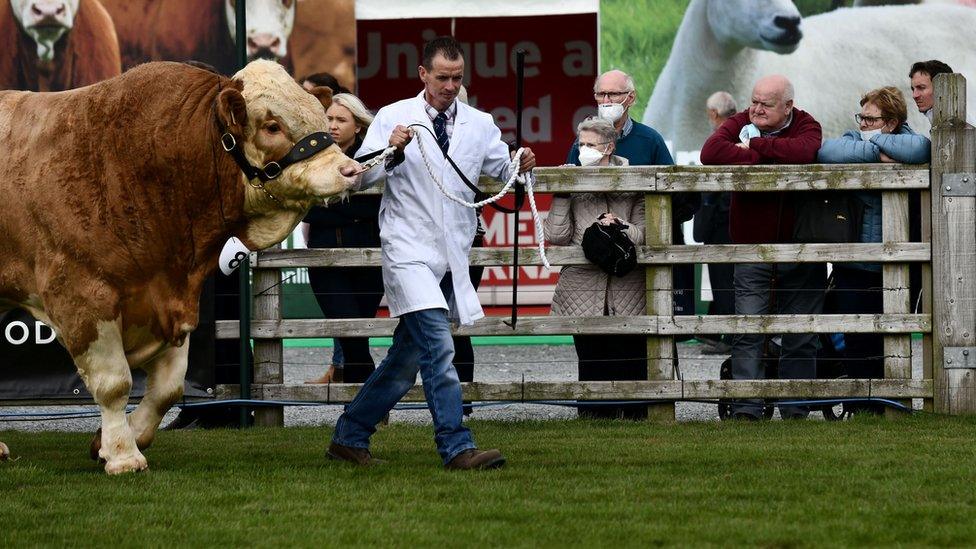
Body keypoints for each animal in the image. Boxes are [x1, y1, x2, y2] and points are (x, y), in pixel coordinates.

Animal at [0, 58, 360, 470]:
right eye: (272, 126)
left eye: (321, 117)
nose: (350, 170)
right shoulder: (81, 295)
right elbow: (114, 384)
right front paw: (123, 455)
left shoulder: (173, 294)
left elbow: (168, 389)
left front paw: (114, 440)